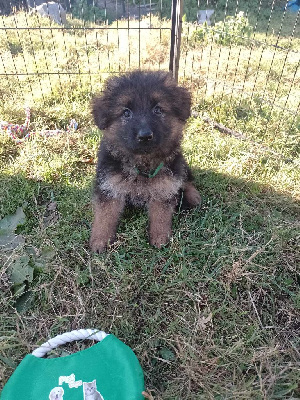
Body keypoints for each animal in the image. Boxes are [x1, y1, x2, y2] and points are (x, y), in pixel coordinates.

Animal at [89, 70, 202, 252]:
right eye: (126, 113)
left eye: (158, 110)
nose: (145, 136)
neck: (142, 164)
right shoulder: (109, 186)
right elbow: (105, 216)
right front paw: (100, 241)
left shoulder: (164, 187)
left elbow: (161, 215)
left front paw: (160, 238)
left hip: (180, 164)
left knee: (186, 179)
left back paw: (193, 196)